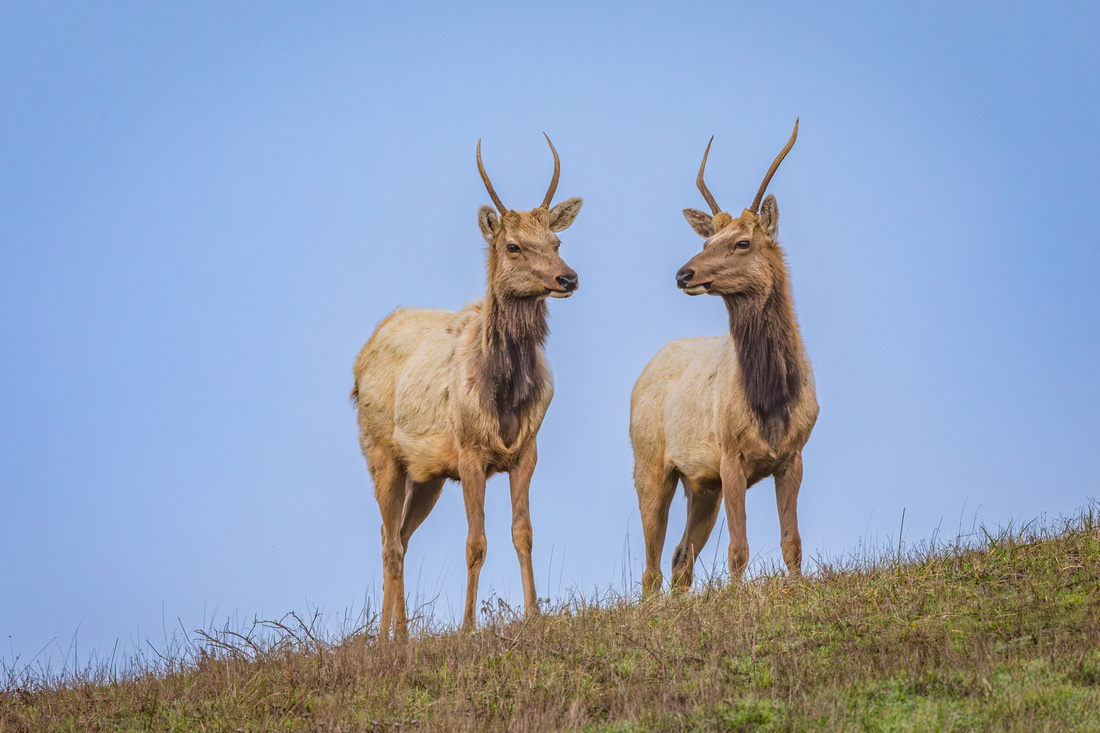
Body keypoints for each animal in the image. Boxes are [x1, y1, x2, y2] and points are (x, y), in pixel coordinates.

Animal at [633, 119, 822, 589]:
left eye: (742, 242)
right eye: (707, 241)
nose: (684, 273)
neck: (772, 399)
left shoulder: (793, 454)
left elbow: (792, 543)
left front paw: (797, 590)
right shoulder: (730, 454)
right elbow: (739, 550)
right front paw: (737, 597)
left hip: (702, 486)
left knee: (680, 558)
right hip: (649, 464)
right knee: (651, 569)